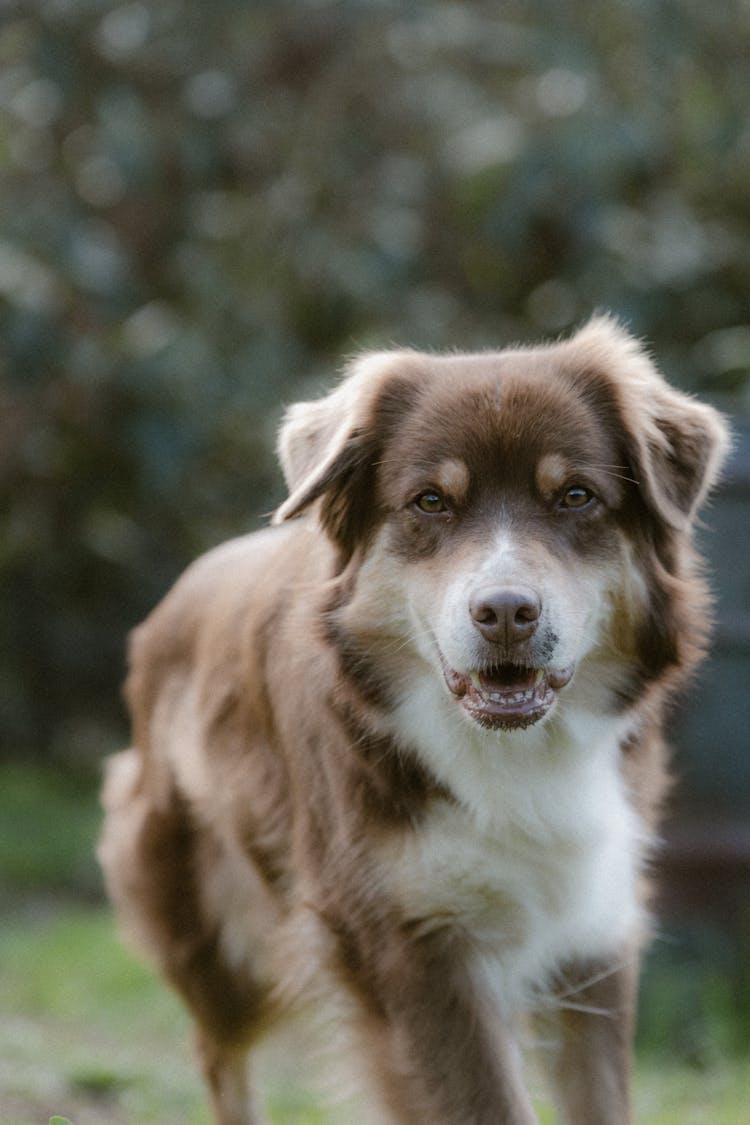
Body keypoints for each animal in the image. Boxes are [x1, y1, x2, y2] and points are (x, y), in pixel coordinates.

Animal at [98, 319, 728, 1125]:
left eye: (575, 496)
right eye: (431, 501)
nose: (506, 613)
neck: (513, 752)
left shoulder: (595, 931)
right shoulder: (411, 942)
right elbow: (487, 1103)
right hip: (217, 926)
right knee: (218, 1047)